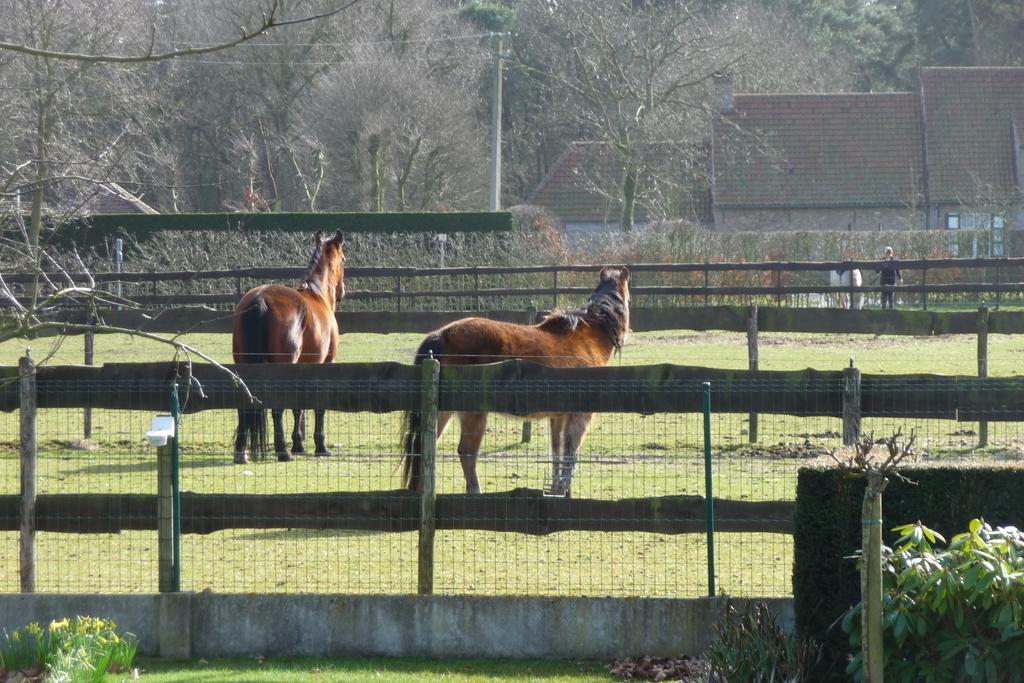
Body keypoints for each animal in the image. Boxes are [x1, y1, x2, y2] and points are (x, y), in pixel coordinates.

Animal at [231, 231, 344, 464]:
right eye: (344, 259)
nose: (342, 292)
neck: (317, 294)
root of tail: (259, 299)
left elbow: (297, 407)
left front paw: (299, 444)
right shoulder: (325, 365)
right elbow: (316, 407)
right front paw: (320, 446)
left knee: (244, 404)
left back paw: (241, 452)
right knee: (277, 408)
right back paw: (282, 450)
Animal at [401, 266, 626, 497]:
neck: (588, 336)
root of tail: (441, 335)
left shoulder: (557, 417)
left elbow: (557, 454)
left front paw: (557, 490)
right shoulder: (580, 415)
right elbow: (570, 455)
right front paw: (564, 490)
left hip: (442, 412)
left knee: (424, 447)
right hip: (473, 414)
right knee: (467, 452)